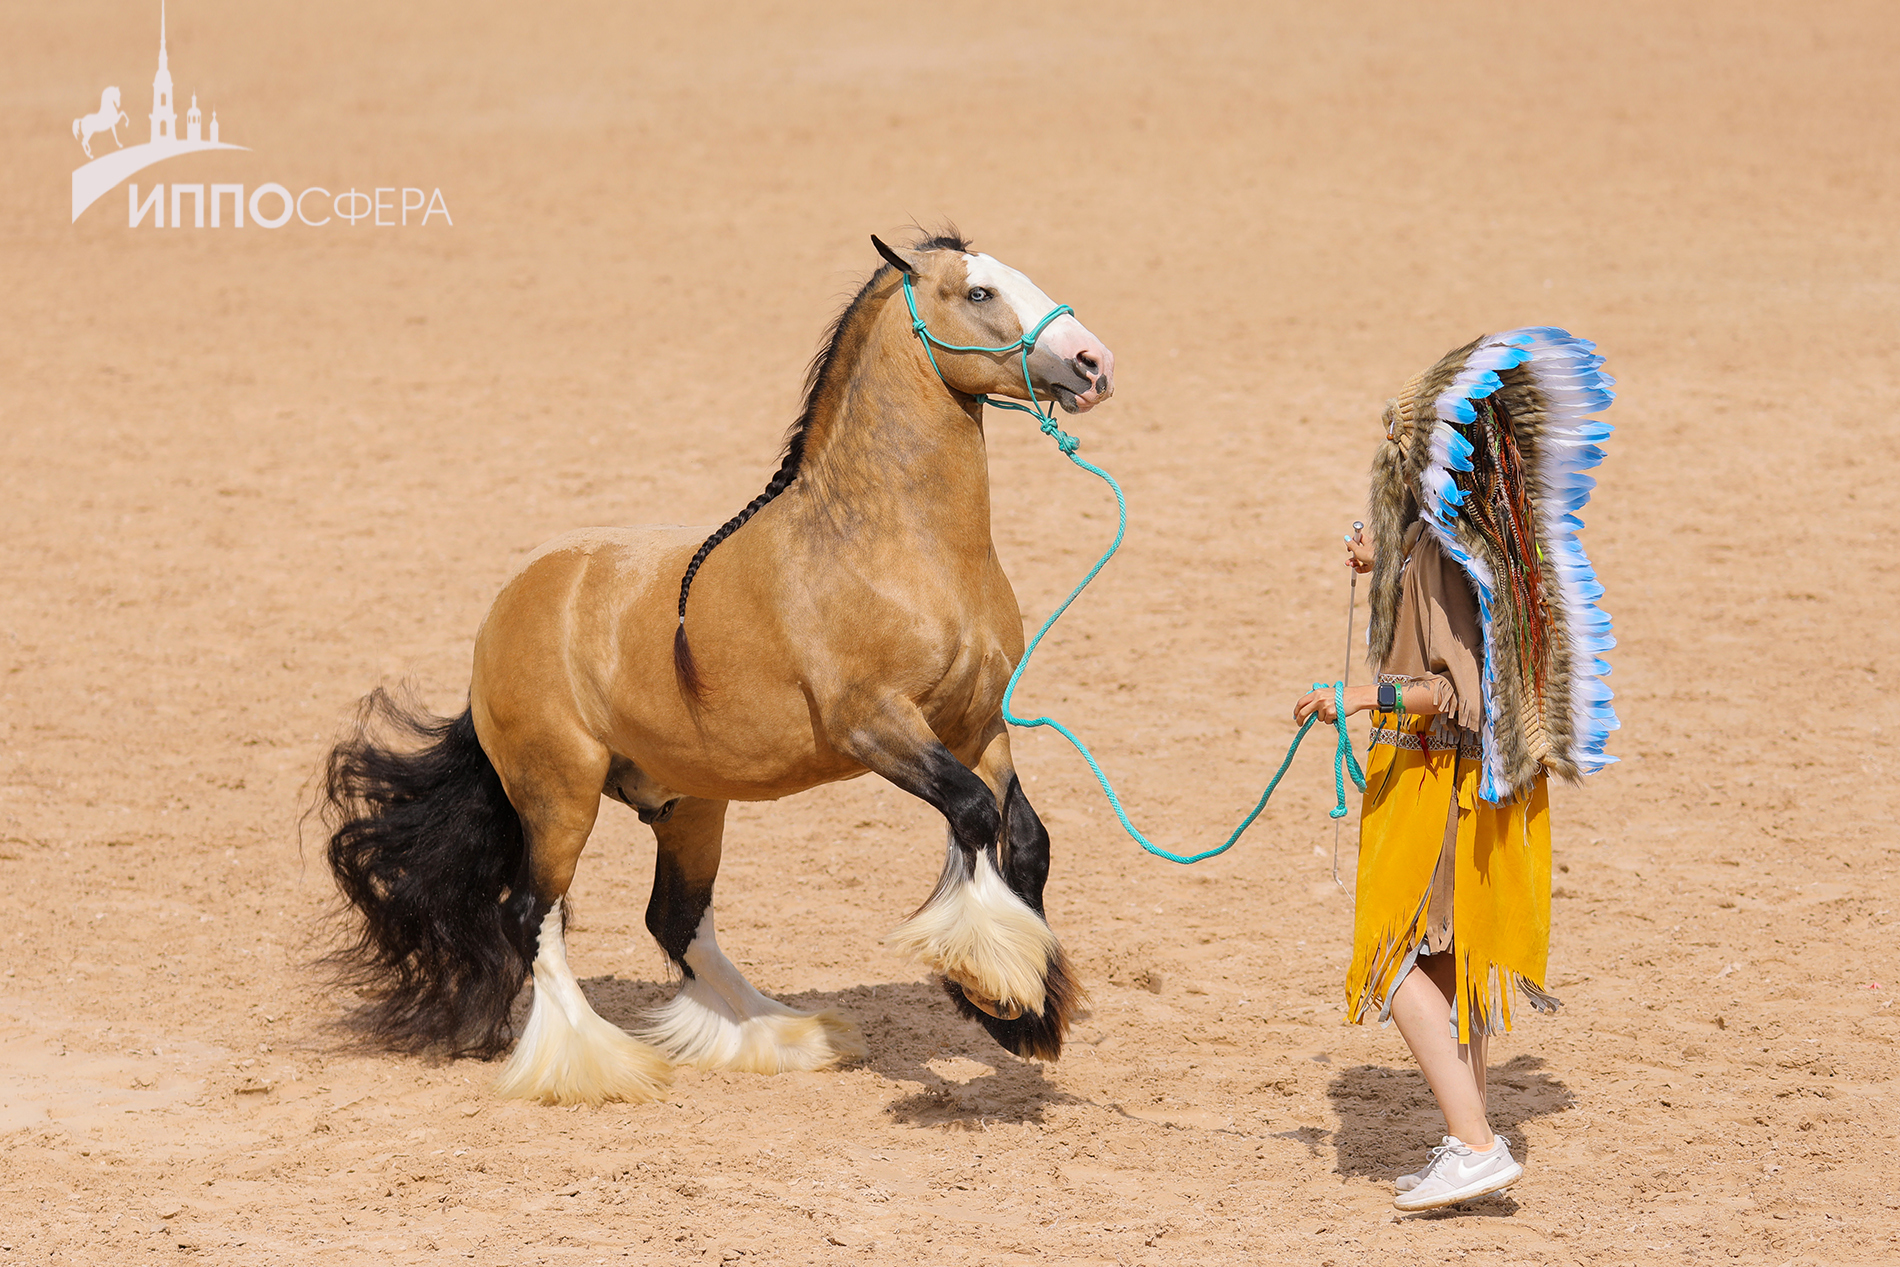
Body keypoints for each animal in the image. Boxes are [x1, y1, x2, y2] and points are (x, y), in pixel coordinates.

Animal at [313, 232, 1109, 1101]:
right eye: (978, 293)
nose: (1092, 361)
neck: (899, 547)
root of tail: (505, 615)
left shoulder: (978, 722)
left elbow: (1022, 834)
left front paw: (1026, 1017)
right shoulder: (877, 725)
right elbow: (971, 812)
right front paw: (992, 986)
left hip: (689, 802)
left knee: (674, 917)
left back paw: (786, 1033)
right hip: (559, 795)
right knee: (531, 914)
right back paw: (597, 1063)